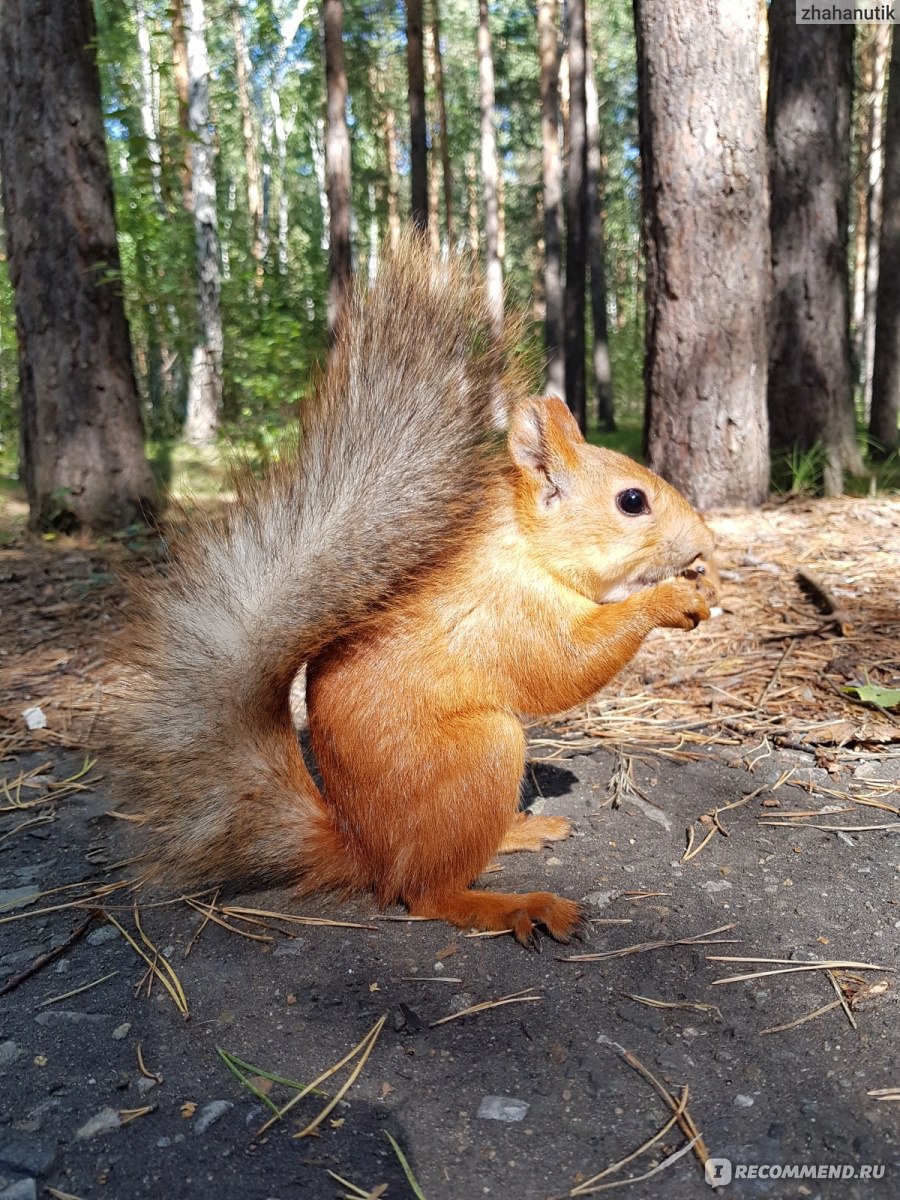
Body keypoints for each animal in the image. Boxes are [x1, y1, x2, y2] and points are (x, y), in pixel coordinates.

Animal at [112, 236, 720, 945]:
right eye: (632, 501)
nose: (705, 542)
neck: (524, 546)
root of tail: (365, 850)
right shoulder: (505, 612)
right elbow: (564, 668)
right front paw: (669, 600)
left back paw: (519, 832)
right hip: (482, 754)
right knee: (428, 893)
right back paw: (516, 904)